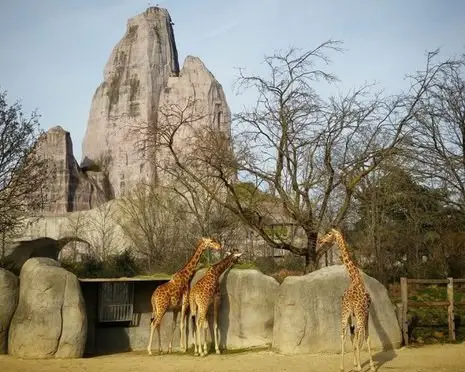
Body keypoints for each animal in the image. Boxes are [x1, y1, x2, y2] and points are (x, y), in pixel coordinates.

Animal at [318, 228, 376, 370]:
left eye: (329, 234)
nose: (320, 240)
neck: (355, 278)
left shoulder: (351, 315)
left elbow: (352, 336)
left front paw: (355, 363)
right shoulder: (366, 313)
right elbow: (366, 336)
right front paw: (370, 366)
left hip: (344, 313)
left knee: (343, 335)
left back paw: (342, 367)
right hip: (358, 315)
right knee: (359, 333)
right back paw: (360, 367)